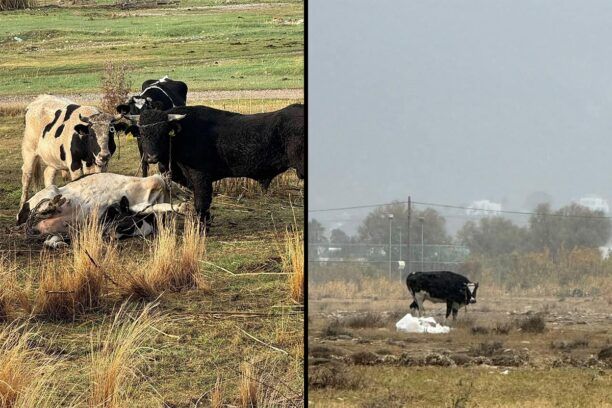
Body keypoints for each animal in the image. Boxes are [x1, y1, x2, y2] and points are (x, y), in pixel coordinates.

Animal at [16, 171, 191, 247]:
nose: (187, 194)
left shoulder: (138, 207)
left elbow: (156, 206)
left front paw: (181, 206)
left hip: (61, 232)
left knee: (50, 241)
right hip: (50, 191)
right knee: (42, 207)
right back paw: (52, 205)